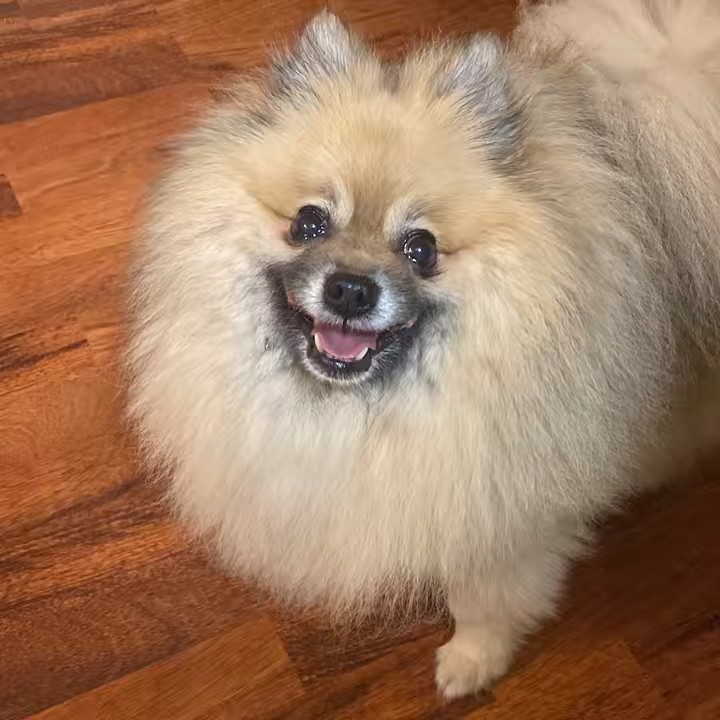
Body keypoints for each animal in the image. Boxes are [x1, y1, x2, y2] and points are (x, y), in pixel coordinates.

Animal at [127, 0, 720, 699]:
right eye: (309, 222)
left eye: (421, 248)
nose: (351, 289)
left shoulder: (505, 526)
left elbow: (486, 603)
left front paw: (472, 661)